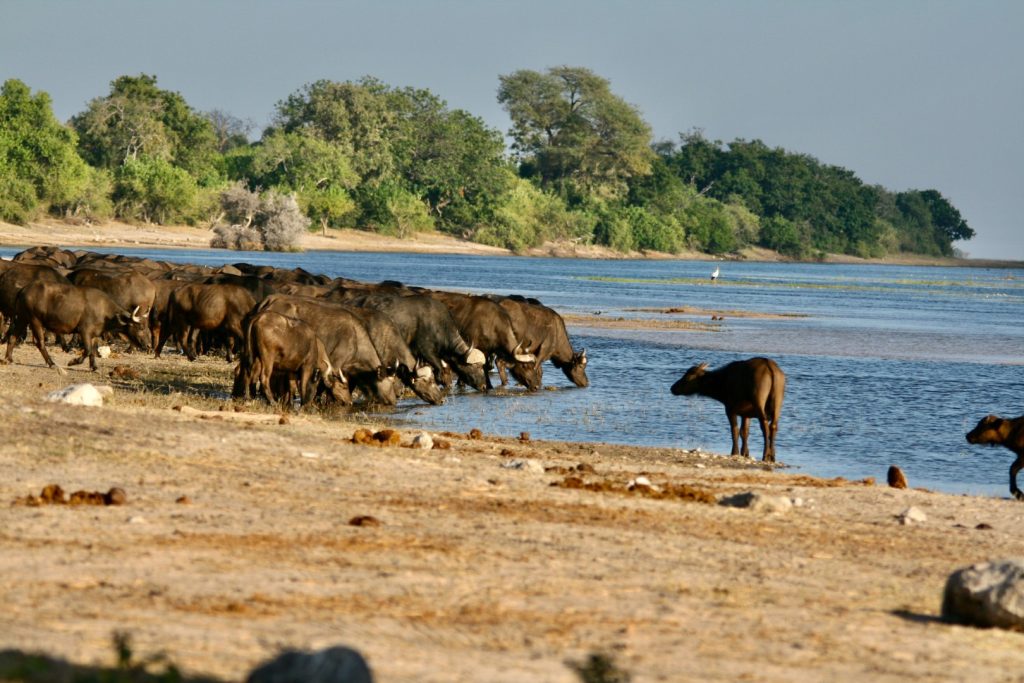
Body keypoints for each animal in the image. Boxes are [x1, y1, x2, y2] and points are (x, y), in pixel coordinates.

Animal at [2, 280, 150, 370]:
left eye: (146, 328)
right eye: (140, 328)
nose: (148, 346)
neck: (106, 312)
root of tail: (23, 290)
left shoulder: (94, 334)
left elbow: (93, 350)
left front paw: (94, 367)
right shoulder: (85, 331)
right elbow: (88, 350)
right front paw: (73, 361)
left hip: (23, 318)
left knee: (13, 336)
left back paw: (9, 358)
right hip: (34, 320)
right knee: (40, 343)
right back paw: (51, 363)